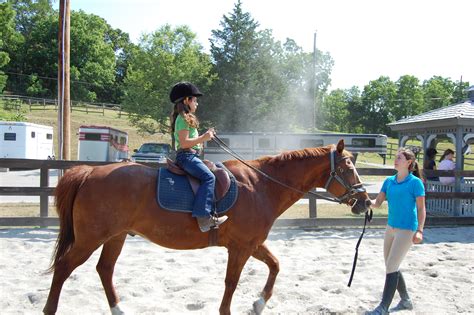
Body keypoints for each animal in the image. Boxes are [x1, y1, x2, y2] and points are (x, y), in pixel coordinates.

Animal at [42, 141, 372, 315]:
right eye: (348, 168)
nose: (365, 202)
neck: (261, 185)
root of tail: (89, 173)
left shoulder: (251, 244)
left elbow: (276, 265)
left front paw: (258, 303)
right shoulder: (240, 248)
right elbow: (231, 282)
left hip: (116, 236)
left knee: (104, 269)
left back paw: (118, 309)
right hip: (91, 238)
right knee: (65, 267)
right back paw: (50, 309)